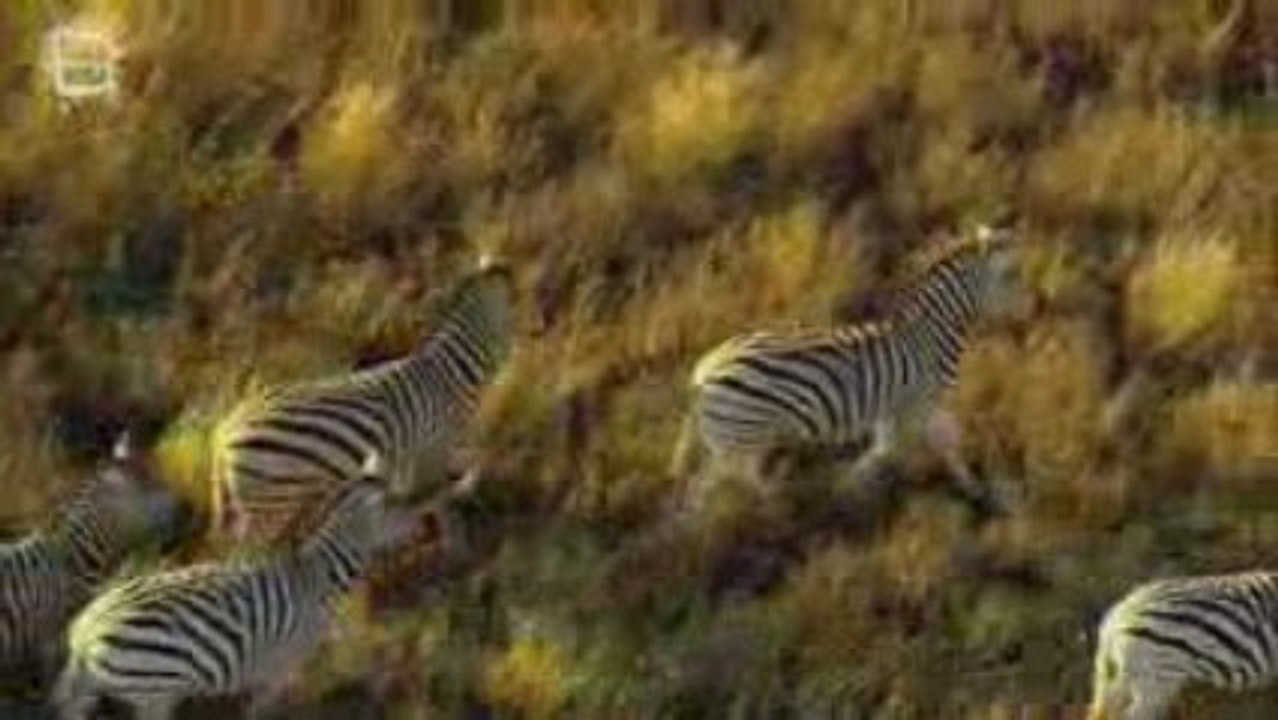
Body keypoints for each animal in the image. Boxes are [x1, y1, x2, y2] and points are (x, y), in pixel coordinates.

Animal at [54, 451, 416, 720]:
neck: (319, 576)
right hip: (156, 692)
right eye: (396, 507)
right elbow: (259, 712)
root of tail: (86, 630)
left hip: (96, 688)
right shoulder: (279, 667)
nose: (424, 524)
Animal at [211, 259, 515, 541]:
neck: (449, 373)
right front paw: (454, 547)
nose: (530, 339)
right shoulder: (432, 451)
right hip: (270, 503)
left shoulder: (412, 460)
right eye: (520, 303)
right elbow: (443, 505)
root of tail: (224, 432)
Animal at [668, 224, 1018, 511]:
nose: (1028, 310)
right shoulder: (919, 403)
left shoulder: (903, 408)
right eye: (1011, 277)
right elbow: (919, 445)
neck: (929, 335)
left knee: (738, 477)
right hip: (739, 436)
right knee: (706, 487)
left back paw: (776, 504)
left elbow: (917, 444)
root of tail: (705, 370)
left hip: (738, 438)